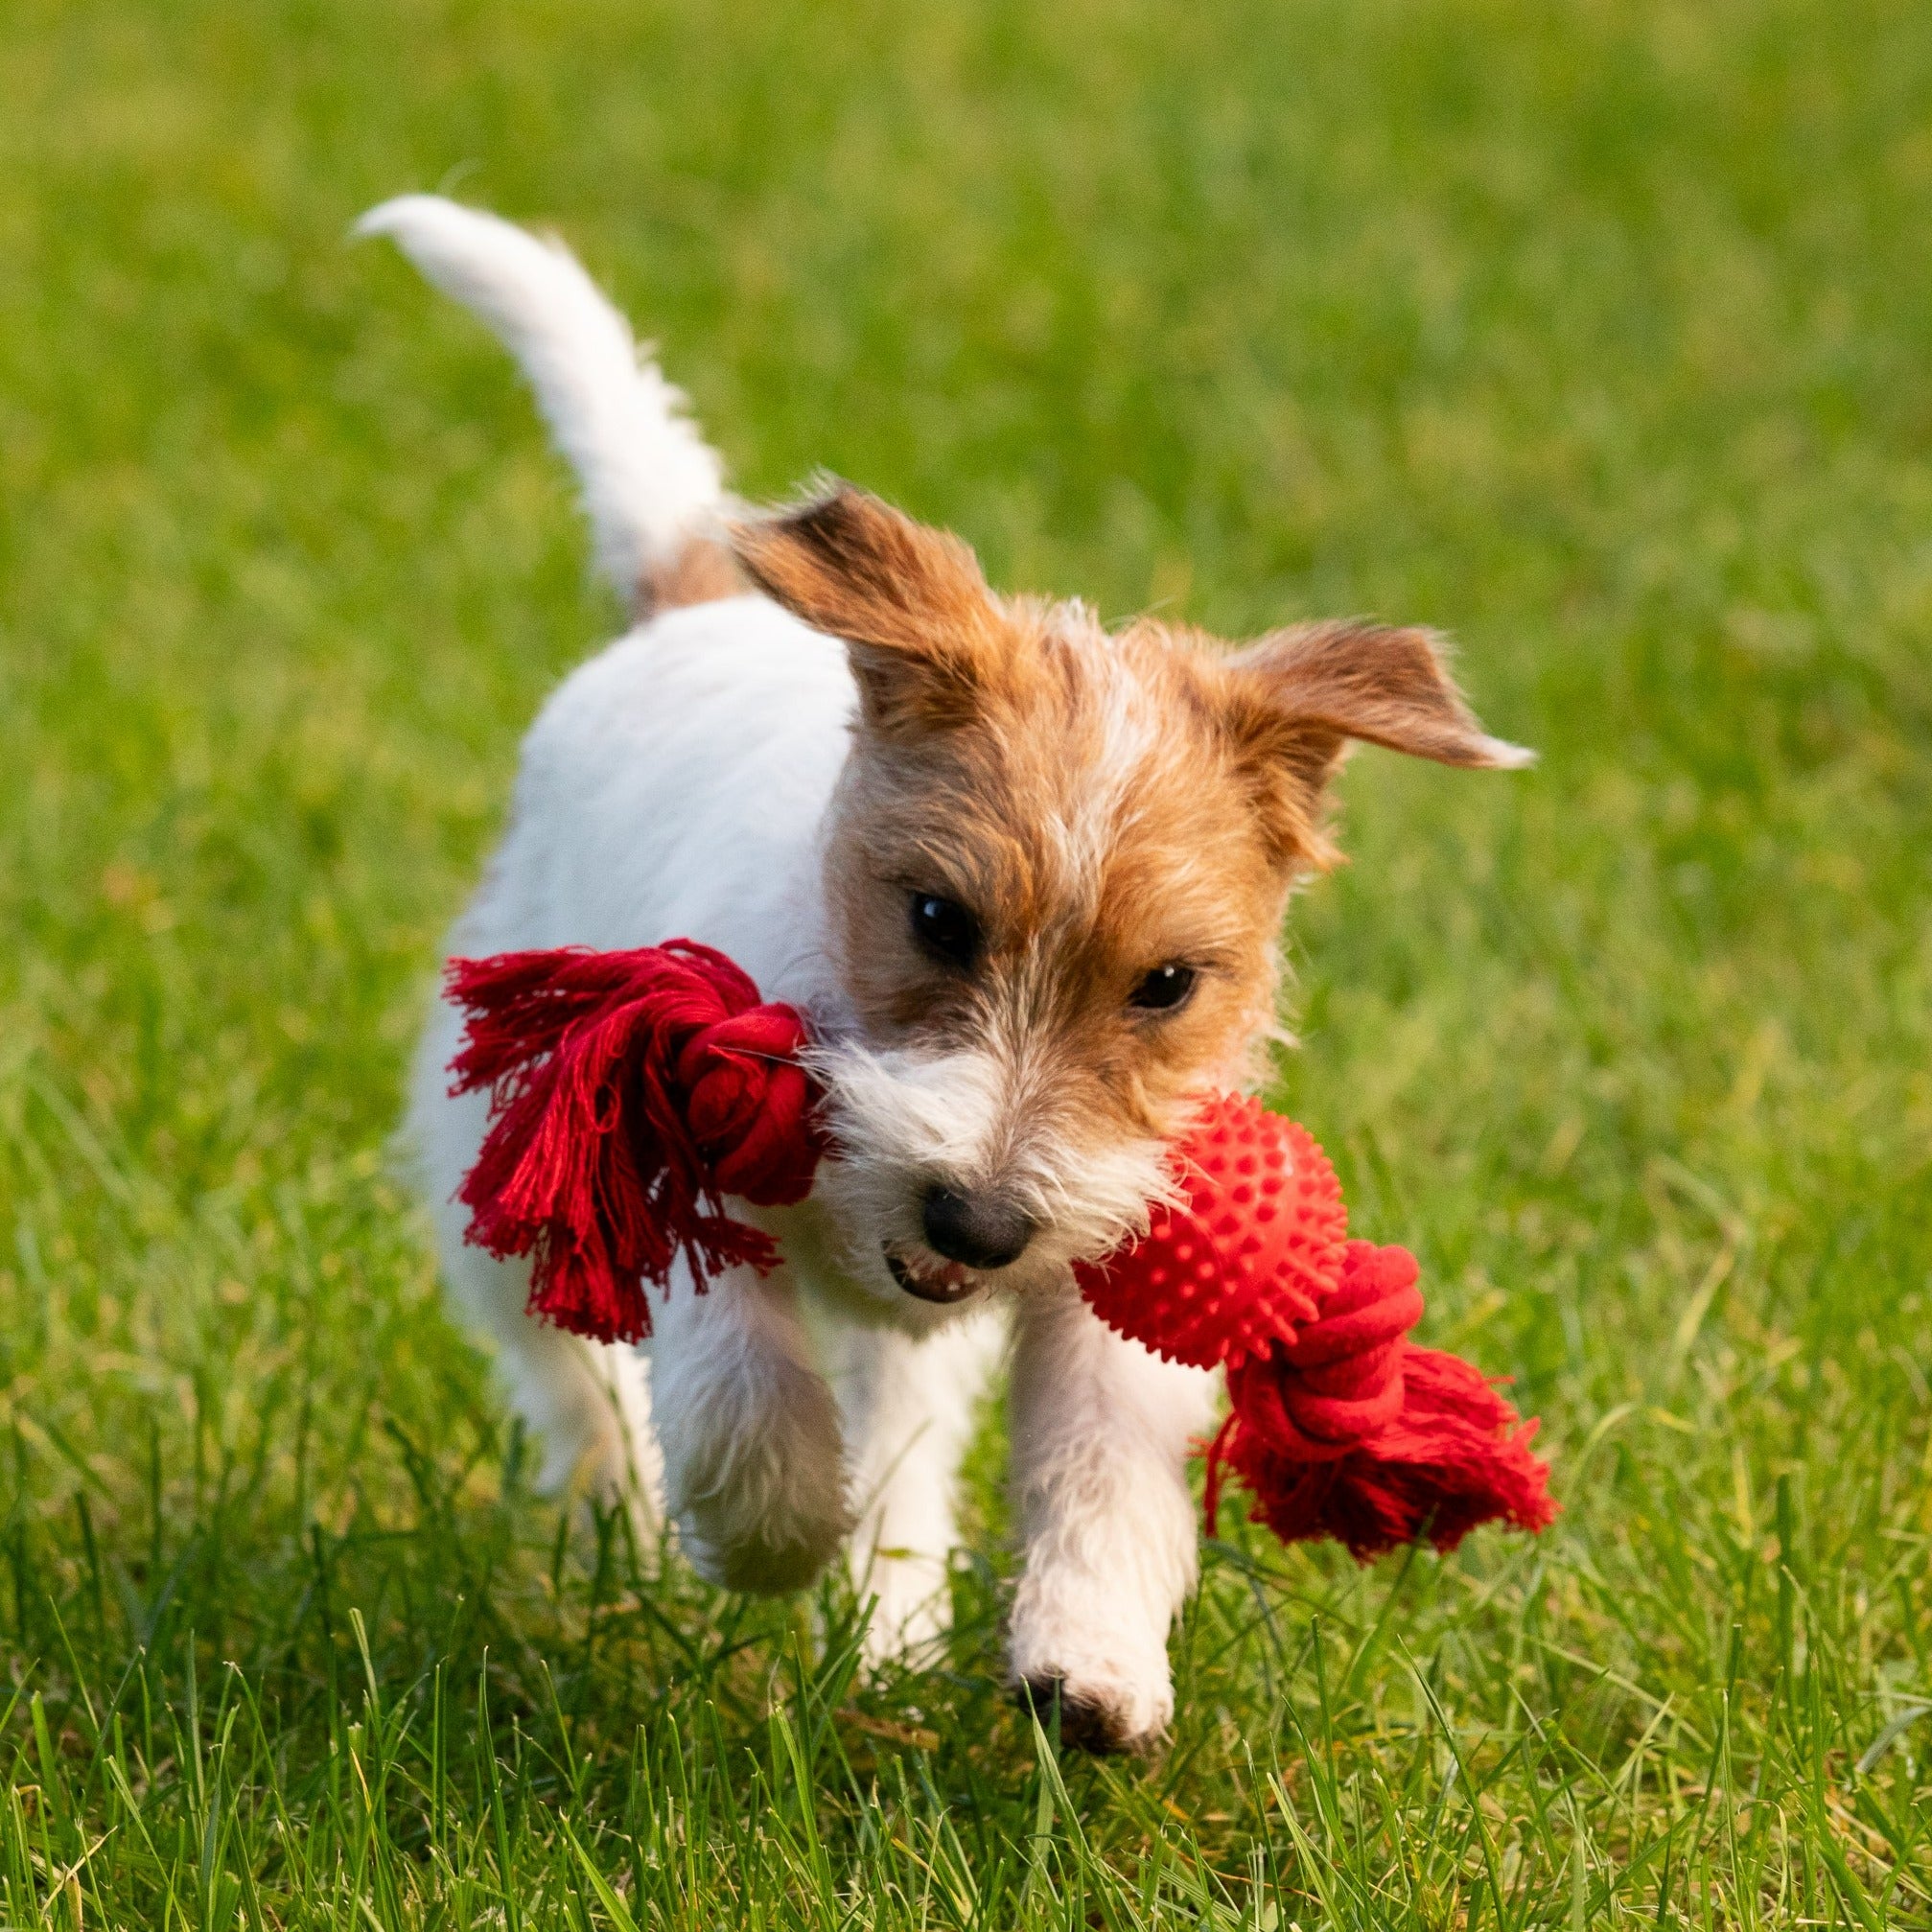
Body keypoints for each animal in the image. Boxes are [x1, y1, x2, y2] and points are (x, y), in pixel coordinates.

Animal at [362, 192, 1522, 1754]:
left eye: (1166, 985)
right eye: (933, 917)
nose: (973, 1218)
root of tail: (687, 602)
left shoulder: (1108, 1260)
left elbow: (1101, 1462)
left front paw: (1088, 1660)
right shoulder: (670, 1133)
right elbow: (735, 1369)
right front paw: (765, 1524)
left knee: (902, 1433)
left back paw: (891, 1618)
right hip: (482, 1147)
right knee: (568, 1366)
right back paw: (636, 1521)